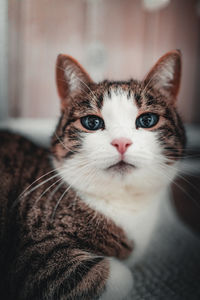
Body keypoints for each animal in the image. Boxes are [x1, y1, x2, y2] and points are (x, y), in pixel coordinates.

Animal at [0, 50, 185, 298]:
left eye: (147, 120)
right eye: (92, 122)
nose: (121, 142)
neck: (122, 202)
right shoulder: (36, 256)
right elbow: (122, 276)